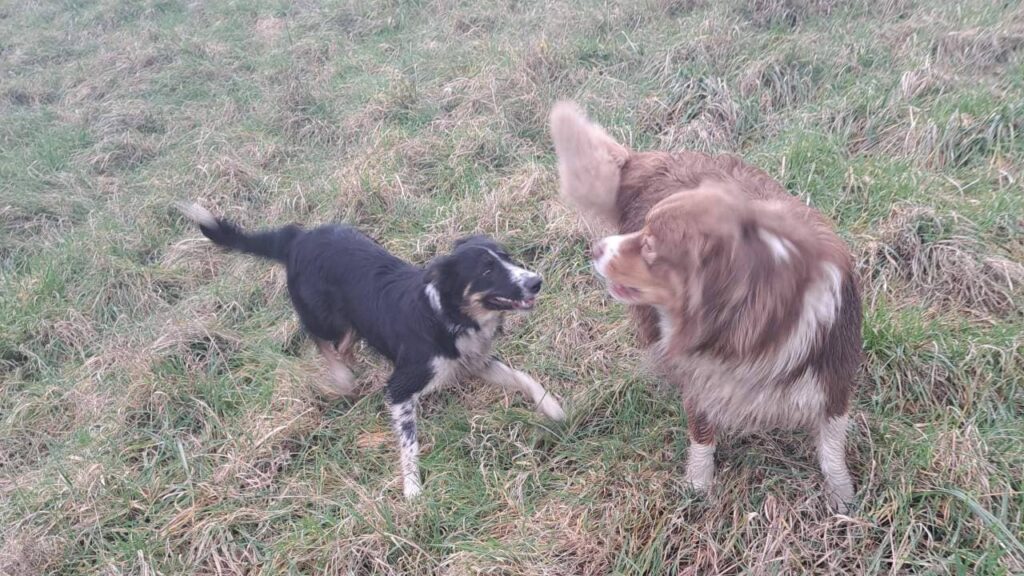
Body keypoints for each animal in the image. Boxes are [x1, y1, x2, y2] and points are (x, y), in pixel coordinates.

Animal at [180, 203, 565, 496]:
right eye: (487, 271)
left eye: (507, 258)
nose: (536, 281)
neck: (449, 314)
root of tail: (299, 237)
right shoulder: (401, 386)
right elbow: (409, 444)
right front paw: (412, 491)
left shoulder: (474, 360)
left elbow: (524, 377)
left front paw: (553, 408)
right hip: (327, 319)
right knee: (321, 341)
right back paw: (342, 378)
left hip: (353, 319)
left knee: (345, 345)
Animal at [548, 100, 860, 508]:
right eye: (643, 229)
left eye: (650, 247)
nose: (596, 249)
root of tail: (649, 159)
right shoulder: (700, 376)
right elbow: (701, 434)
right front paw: (698, 485)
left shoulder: (832, 377)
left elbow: (832, 445)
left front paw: (843, 497)